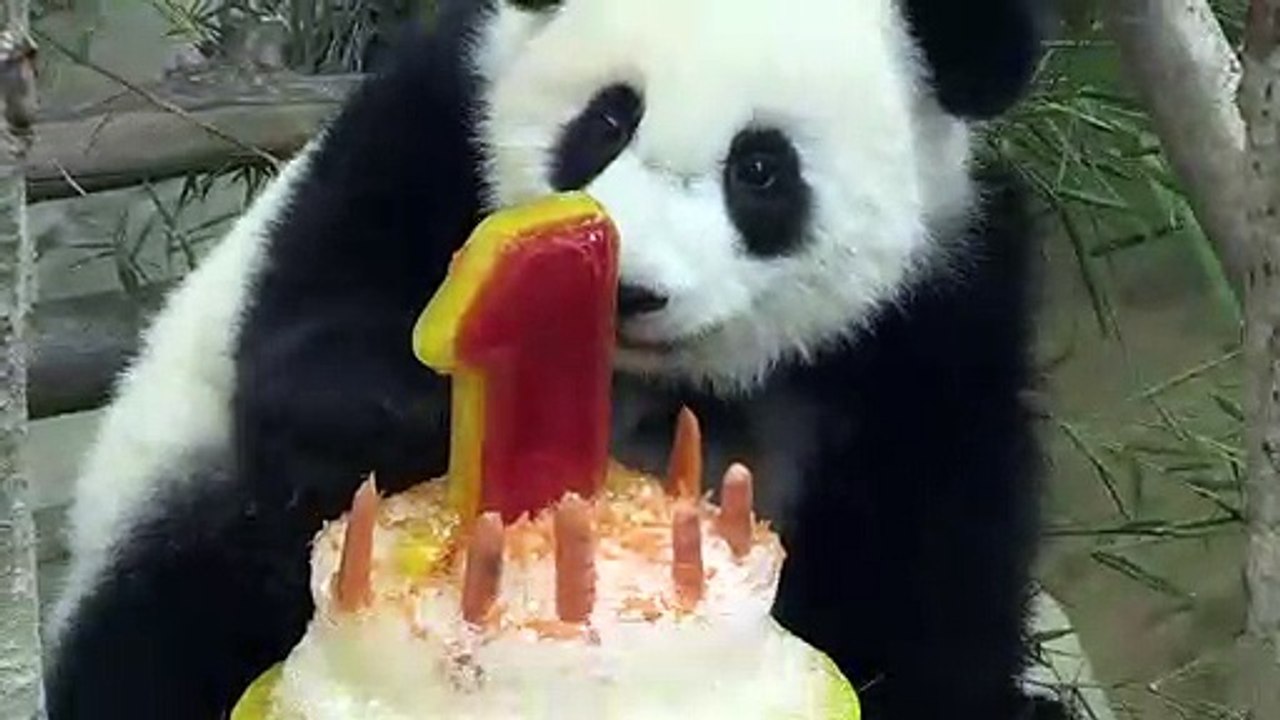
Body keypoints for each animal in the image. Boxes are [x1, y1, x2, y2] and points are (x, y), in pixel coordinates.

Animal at [45, 0, 1061, 718]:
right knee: (166, 626)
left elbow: (934, 562)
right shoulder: (426, 129)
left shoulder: (937, 309)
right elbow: (304, 375)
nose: (629, 288)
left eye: (760, 169)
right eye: (607, 122)